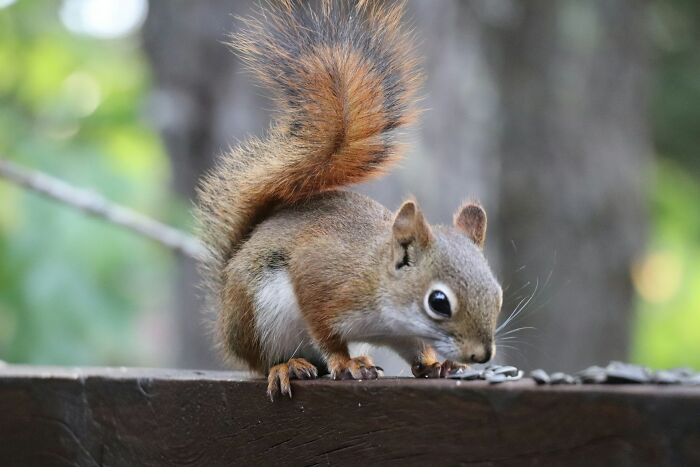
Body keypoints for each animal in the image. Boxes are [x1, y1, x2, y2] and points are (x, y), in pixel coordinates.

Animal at [196, 0, 502, 400]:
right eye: (439, 302)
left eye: (497, 294)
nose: (481, 355)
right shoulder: (322, 277)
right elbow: (326, 332)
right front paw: (345, 363)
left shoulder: (401, 334)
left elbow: (416, 350)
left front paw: (436, 364)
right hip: (256, 317)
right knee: (265, 360)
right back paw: (288, 366)